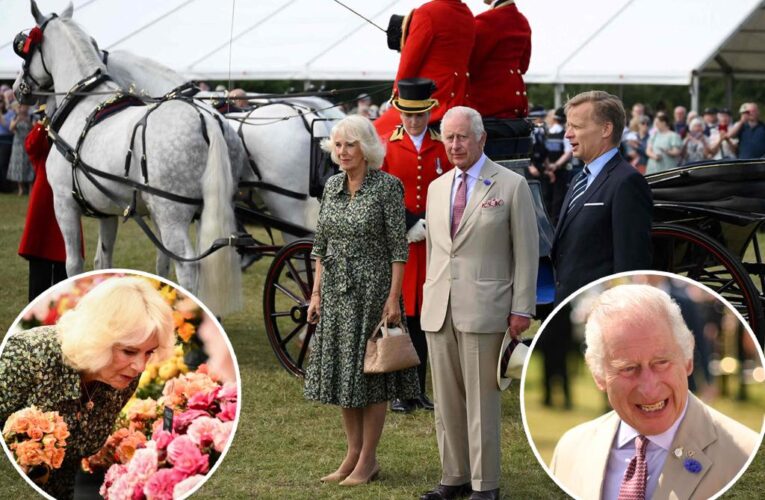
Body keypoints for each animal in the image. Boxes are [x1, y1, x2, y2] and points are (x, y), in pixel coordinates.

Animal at [13, 2, 240, 316]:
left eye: (24, 48)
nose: (17, 88)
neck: (82, 103)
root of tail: (206, 118)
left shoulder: (63, 203)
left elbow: (73, 264)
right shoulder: (106, 210)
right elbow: (103, 261)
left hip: (171, 214)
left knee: (187, 266)